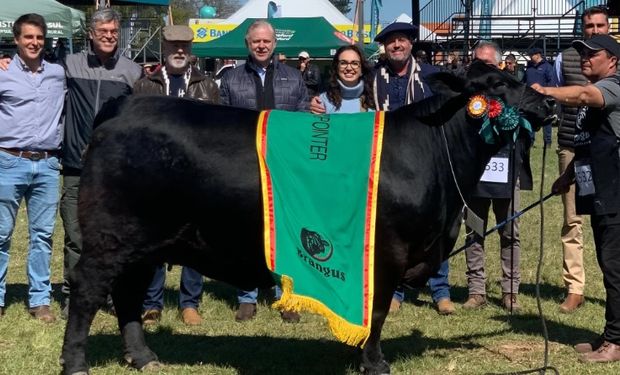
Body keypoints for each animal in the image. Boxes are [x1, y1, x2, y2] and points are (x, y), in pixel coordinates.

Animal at [60, 62, 556, 375]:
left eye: (516, 76)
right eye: (494, 85)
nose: (546, 103)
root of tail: (127, 106)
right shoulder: (386, 253)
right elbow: (377, 311)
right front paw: (374, 362)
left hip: (145, 242)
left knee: (126, 294)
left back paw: (143, 357)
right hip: (111, 237)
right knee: (88, 289)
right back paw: (77, 363)